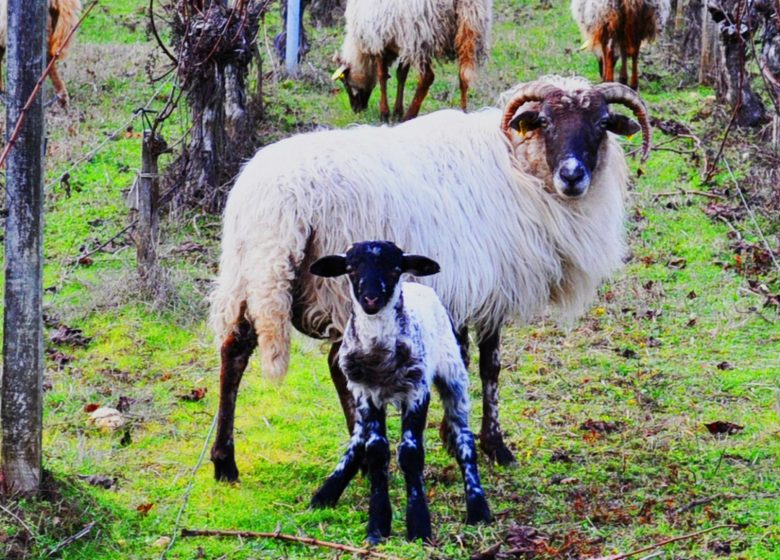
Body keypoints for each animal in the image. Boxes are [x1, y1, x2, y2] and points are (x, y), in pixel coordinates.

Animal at [209, 75, 652, 482]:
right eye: (543, 120)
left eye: (602, 123)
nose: (573, 176)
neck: (521, 169)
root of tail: (280, 201)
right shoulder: (481, 287)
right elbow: (483, 365)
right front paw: (487, 444)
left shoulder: (468, 289)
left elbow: (470, 361)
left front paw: (463, 438)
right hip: (337, 284)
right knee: (337, 364)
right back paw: (361, 455)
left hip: (250, 274)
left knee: (235, 352)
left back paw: (225, 461)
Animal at [308, 241, 490, 544]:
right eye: (351, 269)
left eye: (395, 269)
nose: (370, 299)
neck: (379, 354)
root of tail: (419, 285)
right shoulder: (365, 393)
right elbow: (376, 449)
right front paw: (378, 525)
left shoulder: (416, 391)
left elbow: (411, 453)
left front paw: (418, 526)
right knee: (359, 437)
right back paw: (326, 493)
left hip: (453, 375)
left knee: (464, 437)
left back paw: (478, 508)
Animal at [332, 0, 490, 121]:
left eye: (345, 82)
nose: (356, 109)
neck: (361, 51)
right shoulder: (403, 45)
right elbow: (401, 75)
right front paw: (397, 111)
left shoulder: (380, 41)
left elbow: (382, 76)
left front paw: (385, 113)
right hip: (470, 31)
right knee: (464, 76)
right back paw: (463, 112)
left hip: (421, 37)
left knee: (427, 77)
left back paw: (409, 116)